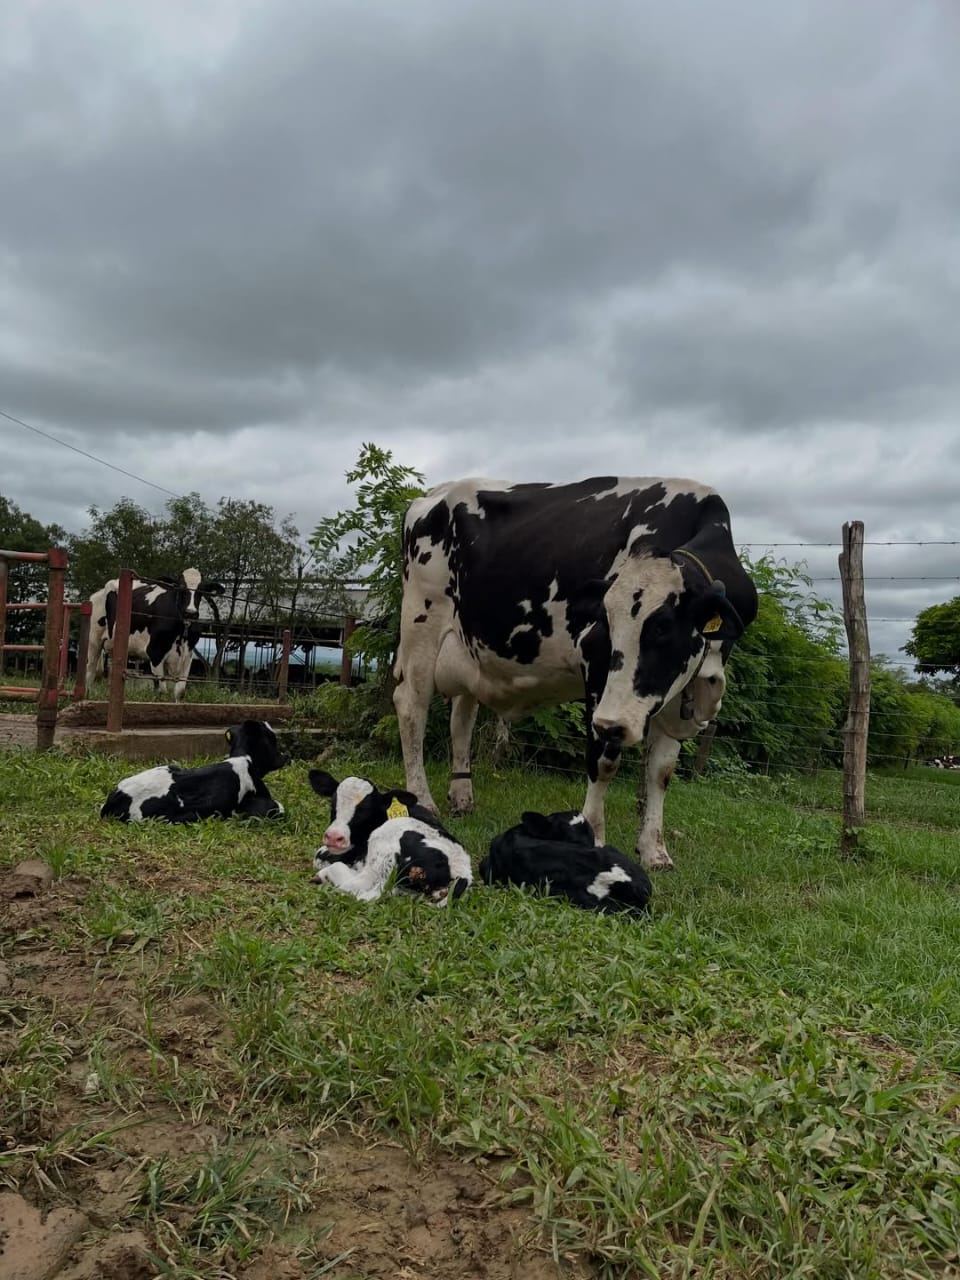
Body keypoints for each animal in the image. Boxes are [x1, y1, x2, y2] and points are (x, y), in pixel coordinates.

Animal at [86, 568, 223, 701]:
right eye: (180, 587)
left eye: (201, 590)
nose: (190, 613)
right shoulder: (155, 653)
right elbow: (162, 692)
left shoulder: (187, 656)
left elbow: (180, 692)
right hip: (94, 640)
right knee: (90, 670)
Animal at [308, 770, 472, 905]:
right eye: (333, 804)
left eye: (366, 811)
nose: (333, 837)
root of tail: (463, 871)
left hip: (384, 854)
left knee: (363, 890)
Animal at [393, 476, 758, 870]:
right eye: (606, 623)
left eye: (662, 627)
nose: (614, 723)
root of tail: (433, 494)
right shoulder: (596, 665)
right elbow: (603, 761)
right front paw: (594, 837)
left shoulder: (673, 692)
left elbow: (661, 772)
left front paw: (655, 851)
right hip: (421, 625)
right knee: (411, 708)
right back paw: (423, 801)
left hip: (469, 651)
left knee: (461, 719)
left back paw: (462, 797)